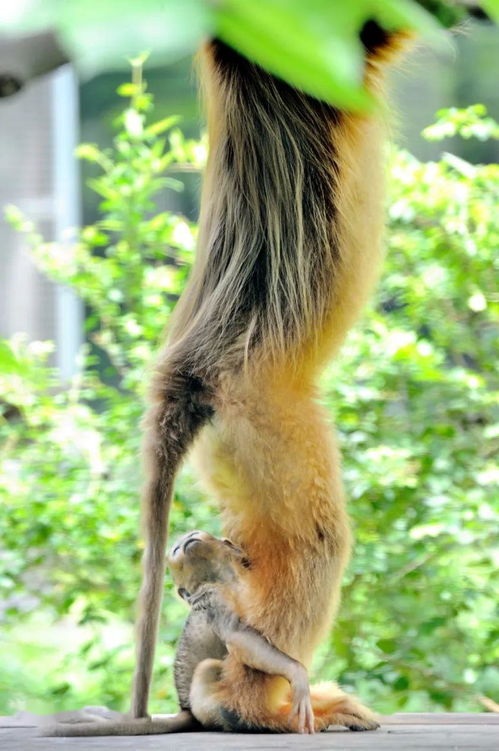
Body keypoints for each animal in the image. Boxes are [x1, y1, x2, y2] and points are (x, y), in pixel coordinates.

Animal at [44, 532, 316, 736]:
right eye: (175, 550)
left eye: (193, 534)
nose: (185, 540)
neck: (228, 580)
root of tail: (186, 707)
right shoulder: (213, 597)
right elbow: (237, 635)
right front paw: (297, 674)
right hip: (203, 705)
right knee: (208, 667)